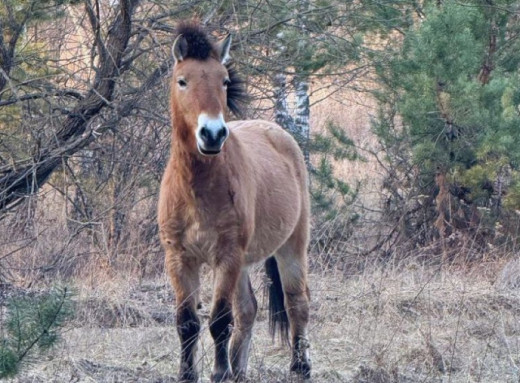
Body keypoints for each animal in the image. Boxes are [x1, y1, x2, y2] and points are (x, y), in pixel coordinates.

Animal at [157, 24, 312, 383]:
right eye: (182, 80)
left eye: (224, 80)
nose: (212, 134)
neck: (197, 190)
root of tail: (279, 133)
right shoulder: (180, 259)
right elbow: (187, 322)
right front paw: (189, 374)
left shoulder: (226, 256)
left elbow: (219, 320)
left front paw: (218, 371)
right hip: (241, 264)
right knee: (248, 309)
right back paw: (239, 370)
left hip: (291, 246)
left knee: (296, 302)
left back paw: (299, 367)